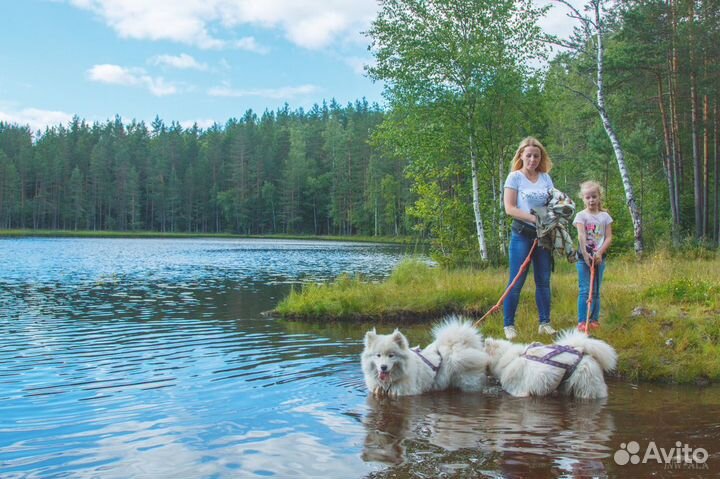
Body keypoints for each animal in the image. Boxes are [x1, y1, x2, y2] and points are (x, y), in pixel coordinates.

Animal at [360, 316, 490, 398]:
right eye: (378, 355)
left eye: (391, 355)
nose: (383, 367)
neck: (389, 382)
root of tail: (455, 345)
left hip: (469, 383)